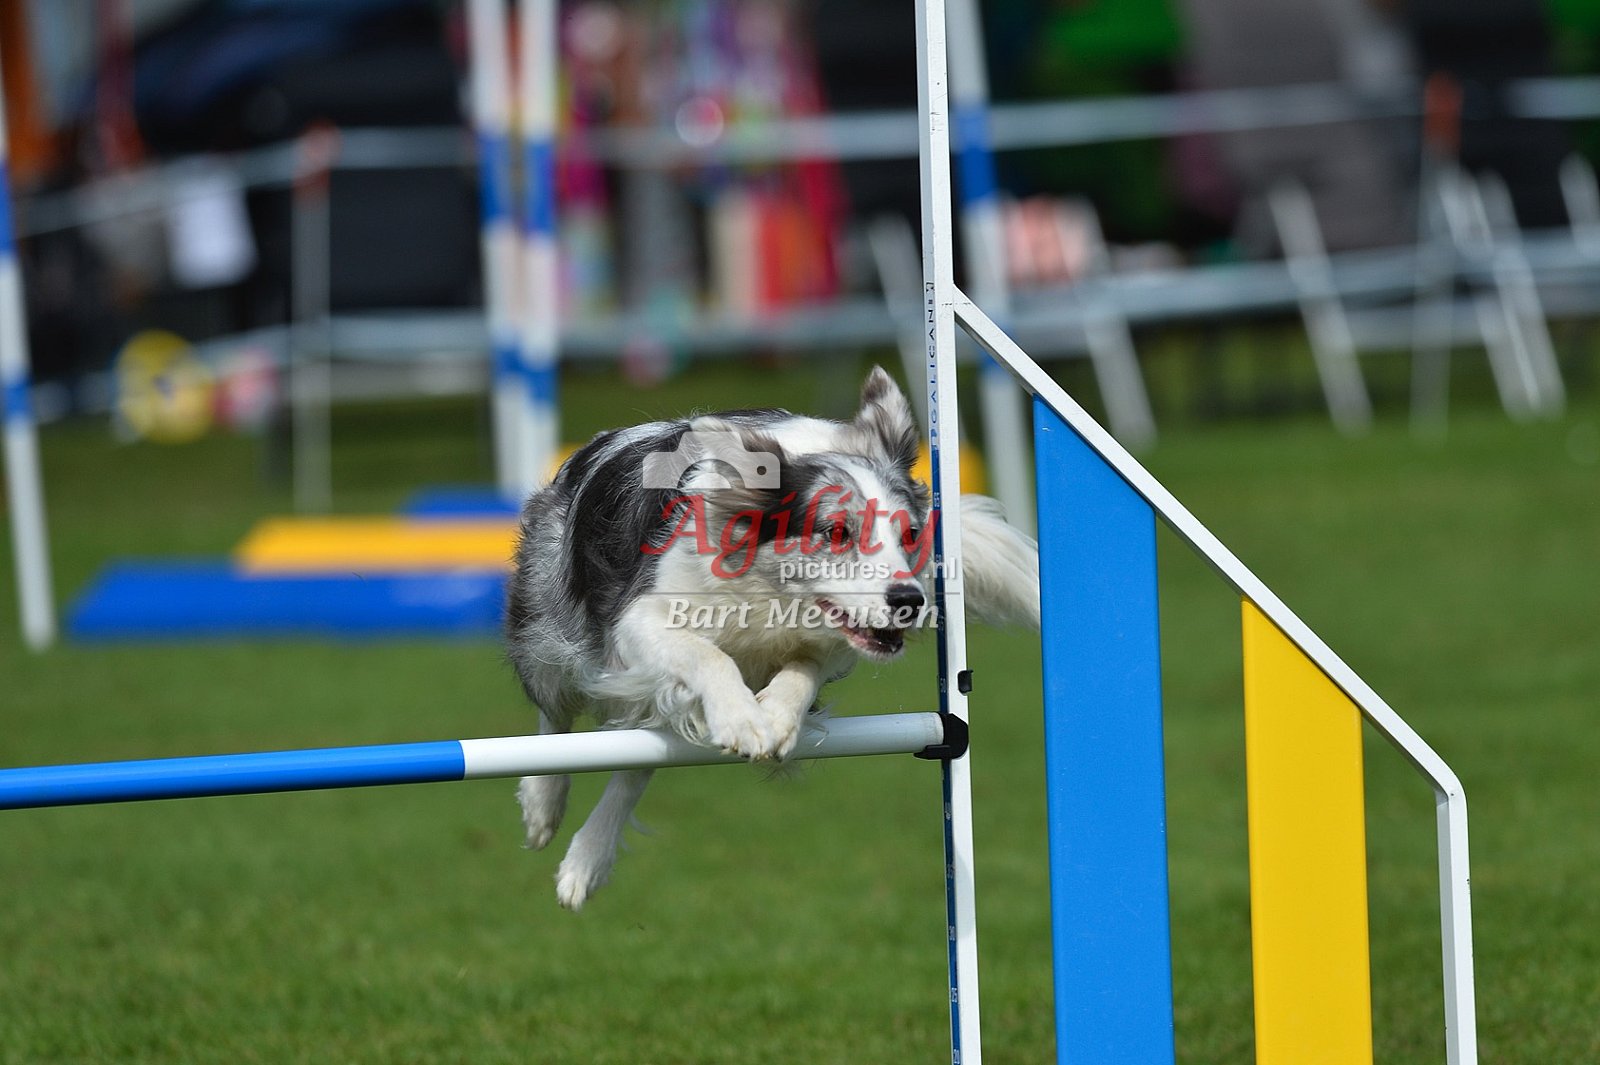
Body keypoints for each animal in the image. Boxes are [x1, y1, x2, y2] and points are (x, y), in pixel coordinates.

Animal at [505, 367, 1039, 909]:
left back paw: (586, 861)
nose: (910, 601)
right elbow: (706, 655)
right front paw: (744, 720)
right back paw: (543, 806)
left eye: (909, 535)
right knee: (556, 713)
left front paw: (778, 719)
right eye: (837, 532)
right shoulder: (638, 617)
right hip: (552, 623)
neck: (767, 594)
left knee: (638, 757)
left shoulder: (826, 644)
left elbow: (802, 671)